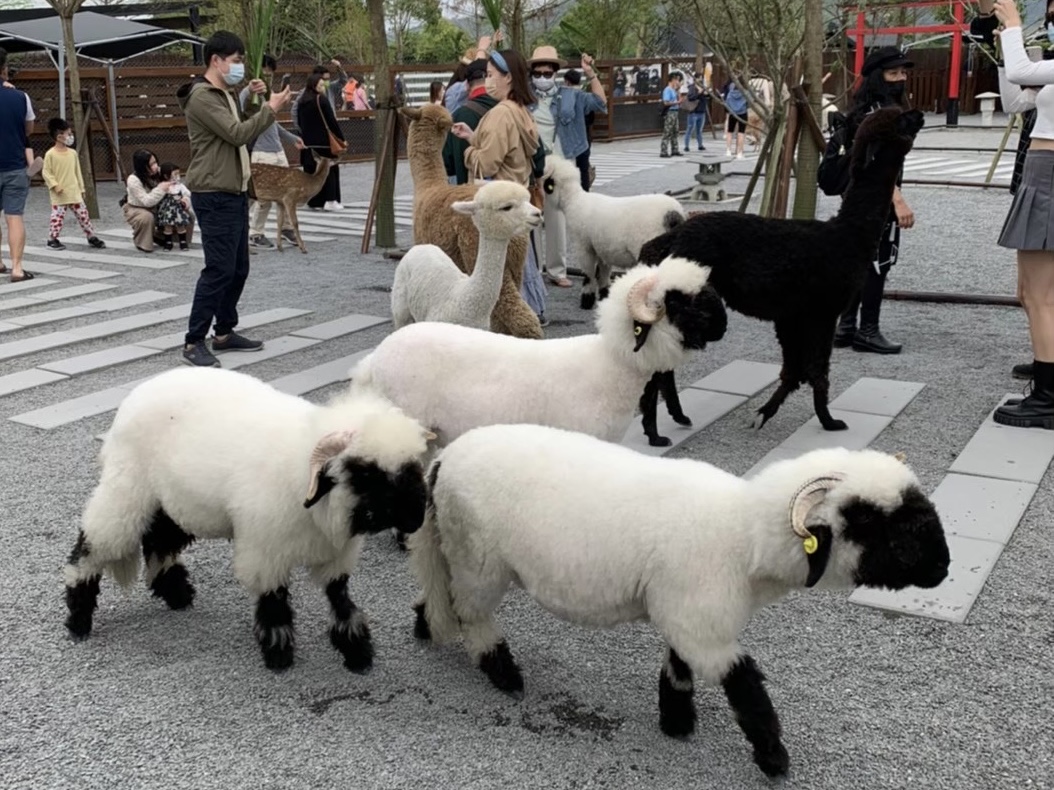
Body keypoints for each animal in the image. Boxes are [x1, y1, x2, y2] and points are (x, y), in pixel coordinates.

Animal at [63, 370, 434, 674]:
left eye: (413, 465)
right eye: (365, 474)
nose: (416, 518)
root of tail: (138, 393)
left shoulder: (334, 554)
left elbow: (340, 599)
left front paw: (357, 652)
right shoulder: (265, 551)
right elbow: (274, 602)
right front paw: (279, 655)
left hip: (170, 501)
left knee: (160, 540)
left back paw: (177, 595)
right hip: (126, 489)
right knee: (91, 545)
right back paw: (79, 619)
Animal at [408, 427, 948, 779]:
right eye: (869, 520)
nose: (943, 568)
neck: (742, 536)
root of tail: (443, 460)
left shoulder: (688, 613)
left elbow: (678, 668)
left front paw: (675, 721)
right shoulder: (703, 622)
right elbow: (744, 685)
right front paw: (773, 758)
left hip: (458, 548)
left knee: (441, 595)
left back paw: (424, 627)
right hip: (479, 558)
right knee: (472, 613)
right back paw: (502, 673)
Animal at [543, 155, 682, 311]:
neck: (574, 201)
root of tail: (672, 214)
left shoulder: (584, 246)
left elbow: (589, 275)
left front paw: (587, 299)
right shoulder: (603, 248)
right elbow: (604, 273)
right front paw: (605, 296)